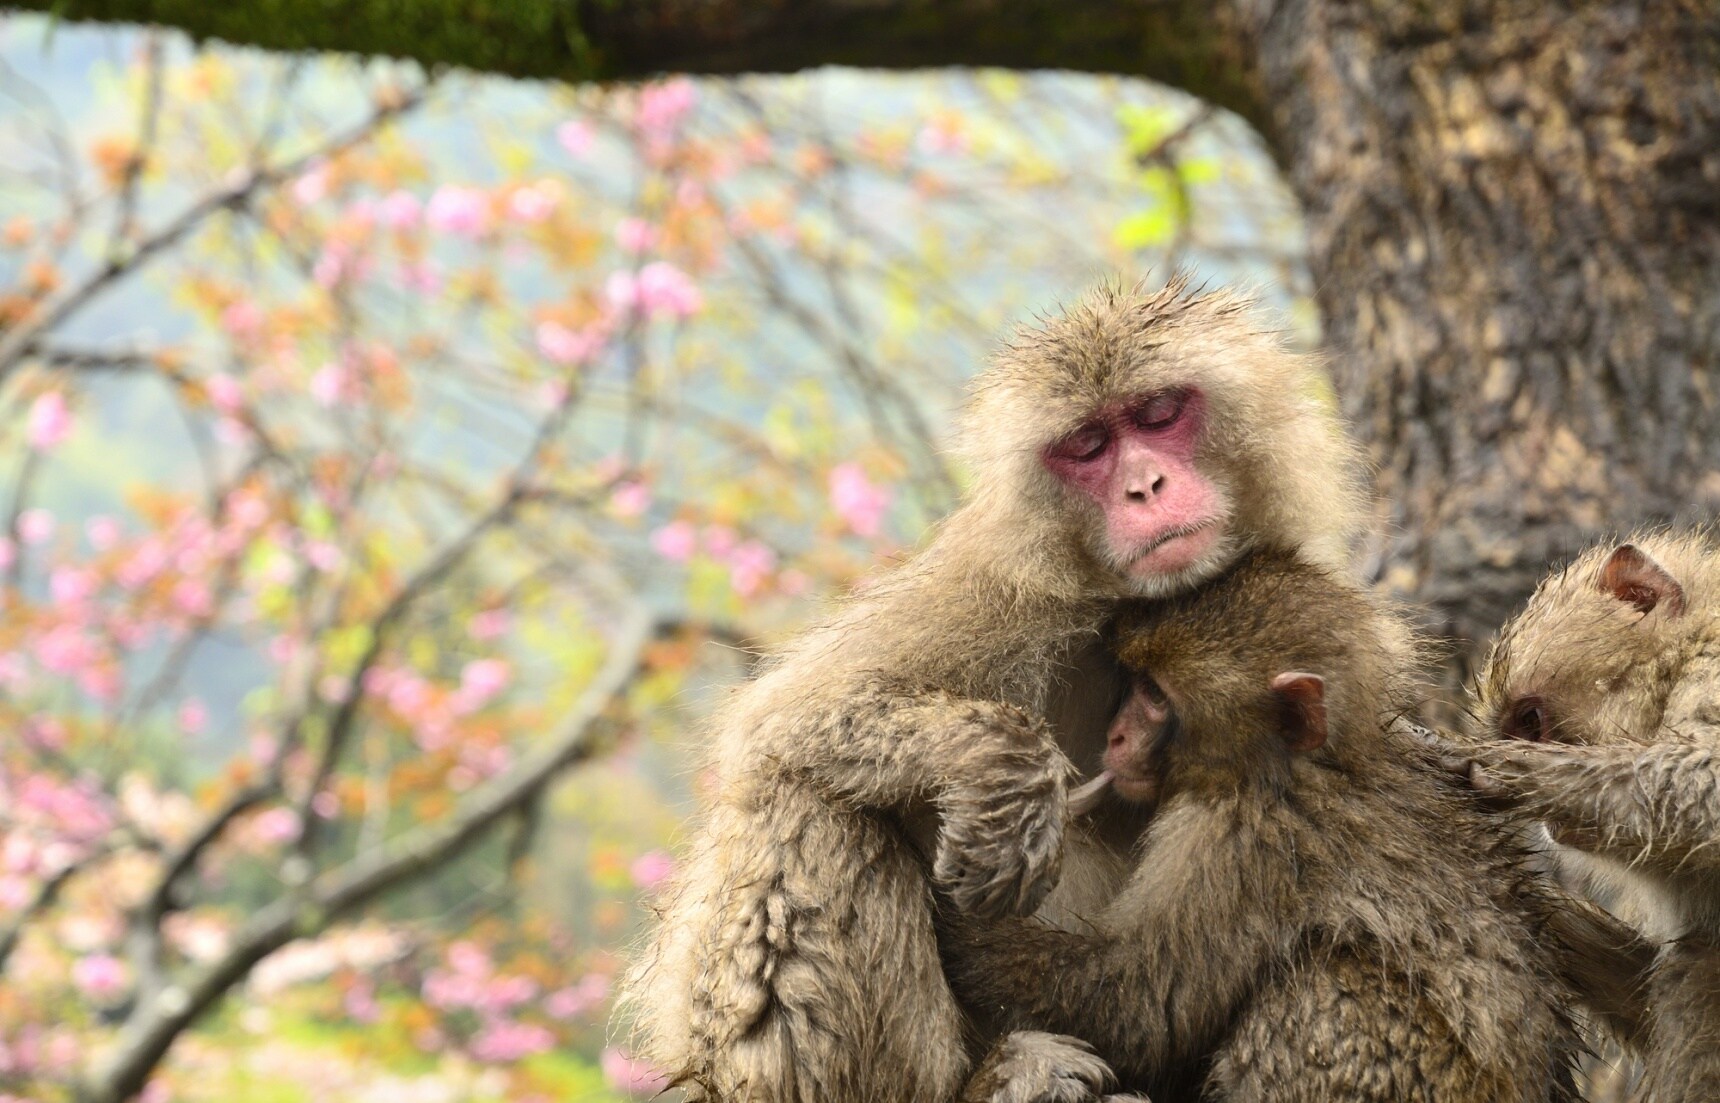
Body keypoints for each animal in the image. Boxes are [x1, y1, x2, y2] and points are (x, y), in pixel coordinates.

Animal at [949, 543, 1575, 1101]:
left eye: (1154, 695)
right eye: (1135, 682)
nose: (1117, 736)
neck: (1299, 762)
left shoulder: (1242, 838)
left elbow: (1141, 1003)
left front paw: (961, 925)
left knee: (1322, 980)